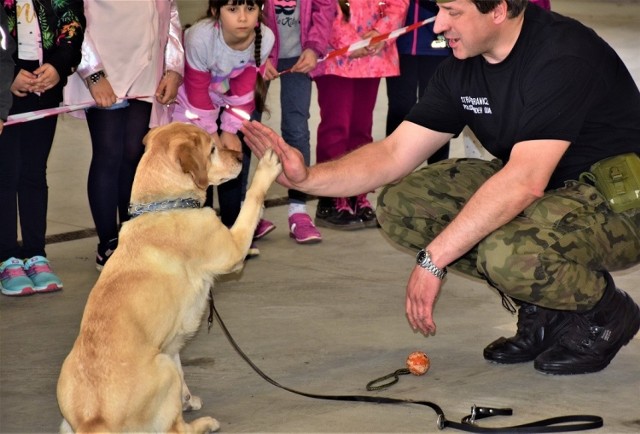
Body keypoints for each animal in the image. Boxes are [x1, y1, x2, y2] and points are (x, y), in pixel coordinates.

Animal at [56, 122, 282, 434]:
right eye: (213, 148)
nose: (239, 156)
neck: (167, 204)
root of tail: (95, 421)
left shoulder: (172, 341)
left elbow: (182, 367)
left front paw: (187, 398)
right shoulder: (234, 249)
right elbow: (252, 200)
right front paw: (267, 168)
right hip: (162, 367)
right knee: (178, 429)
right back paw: (205, 424)